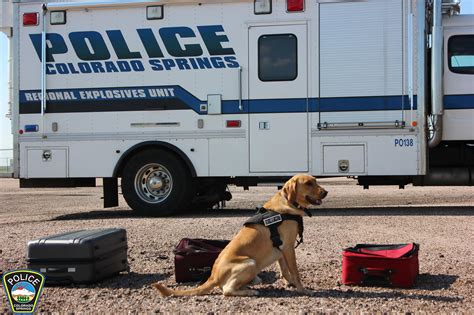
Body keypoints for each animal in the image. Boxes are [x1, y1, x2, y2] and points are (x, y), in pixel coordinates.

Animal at [154, 174, 328, 298]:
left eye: (315, 181)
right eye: (308, 183)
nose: (325, 192)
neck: (288, 203)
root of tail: (213, 276)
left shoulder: (281, 250)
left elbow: (285, 270)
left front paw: (289, 283)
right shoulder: (289, 248)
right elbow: (295, 272)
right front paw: (302, 290)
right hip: (250, 263)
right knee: (226, 290)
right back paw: (249, 291)